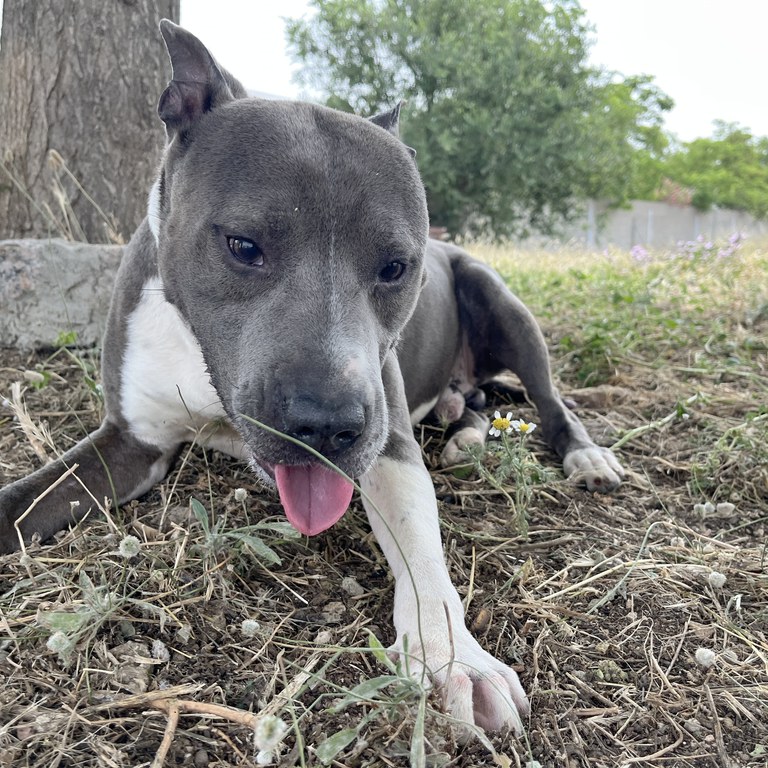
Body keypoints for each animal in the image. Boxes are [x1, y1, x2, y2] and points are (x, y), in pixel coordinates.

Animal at [0, 21, 624, 734]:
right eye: (242, 245)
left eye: (395, 267)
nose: (327, 425)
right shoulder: (130, 442)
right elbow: (20, 504)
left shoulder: (388, 445)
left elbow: (423, 553)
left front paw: (453, 659)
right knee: (472, 402)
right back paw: (464, 432)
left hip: (502, 301)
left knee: (549, 400)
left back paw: (582, 454)